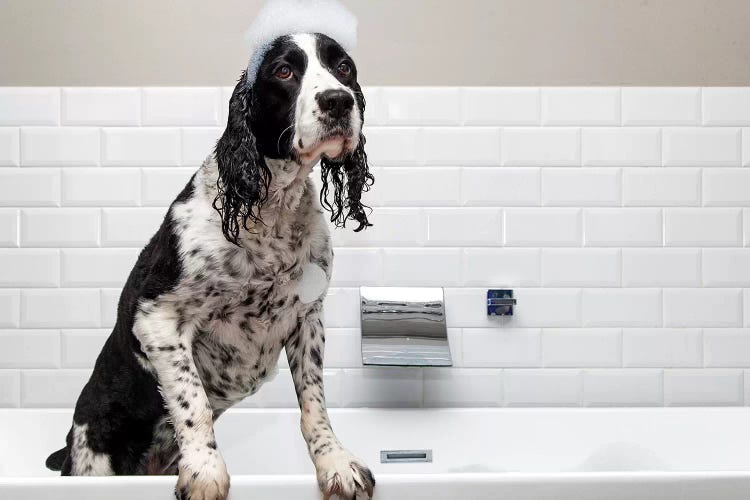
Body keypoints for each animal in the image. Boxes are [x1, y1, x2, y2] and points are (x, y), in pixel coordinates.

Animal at [43, 30, 376, 500]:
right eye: (283, 71)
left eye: (343, 67)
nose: (338, 101)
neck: (269, 212)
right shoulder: (157, 317)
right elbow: (192, 401)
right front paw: (204, 471)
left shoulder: (308, 318)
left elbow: (314, 403)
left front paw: (336, 463)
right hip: (95, 458)